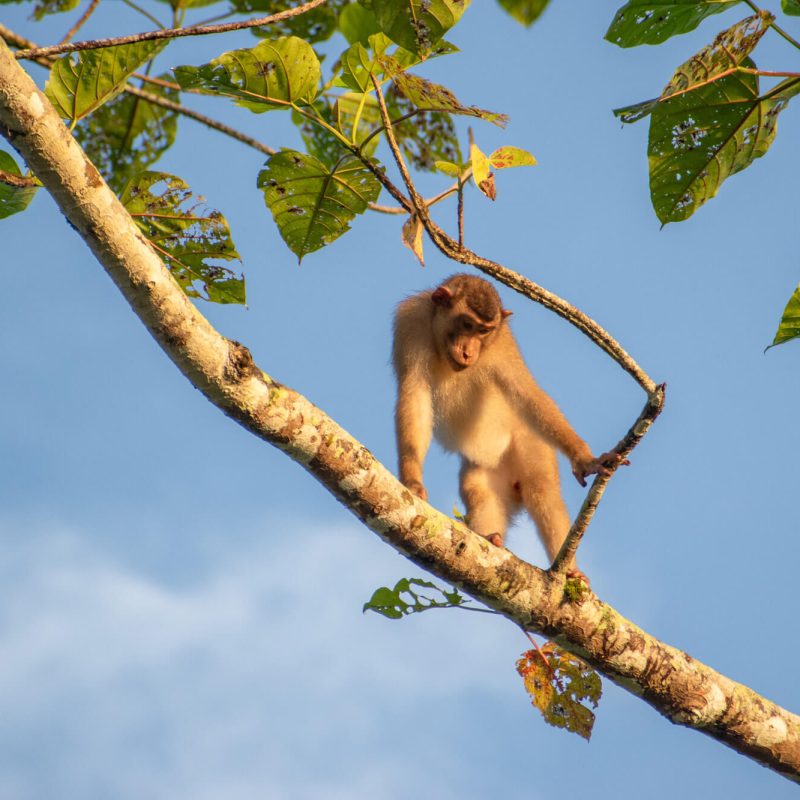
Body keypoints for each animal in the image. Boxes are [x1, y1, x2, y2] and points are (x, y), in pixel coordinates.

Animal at [392, 273, 618, 571]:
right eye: (467, 324)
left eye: (484, 332)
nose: (469, 352)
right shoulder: (410, 323)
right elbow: (415, 396)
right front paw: (413, 481)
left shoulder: (502, 345)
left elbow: (527, 393)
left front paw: (585, 459)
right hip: (488, 471)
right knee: (478, 489)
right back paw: (491, 537)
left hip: (531, 445)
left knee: (542, 491)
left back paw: (569, 572)